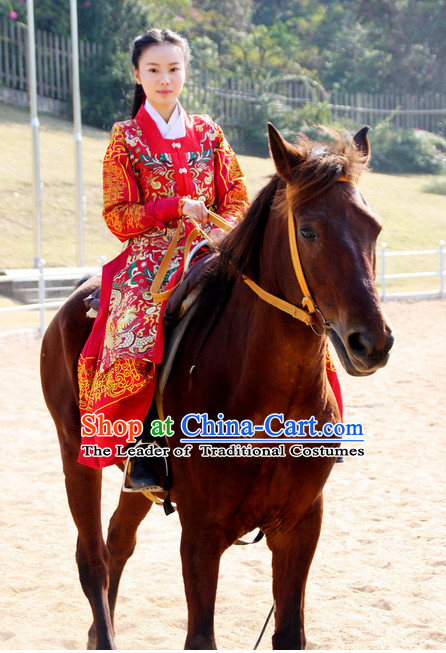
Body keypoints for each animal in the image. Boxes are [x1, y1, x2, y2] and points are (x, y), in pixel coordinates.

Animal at [39, 123, 394, 648]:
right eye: (308, 230)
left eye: (374, 228)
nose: (372, 341)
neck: (271, 412)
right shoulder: (202, 534)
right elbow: (200, 637)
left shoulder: (300, 526)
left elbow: (290, 633)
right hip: (76, 453)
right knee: (93, 559)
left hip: (136, 479)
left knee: (118, 541)